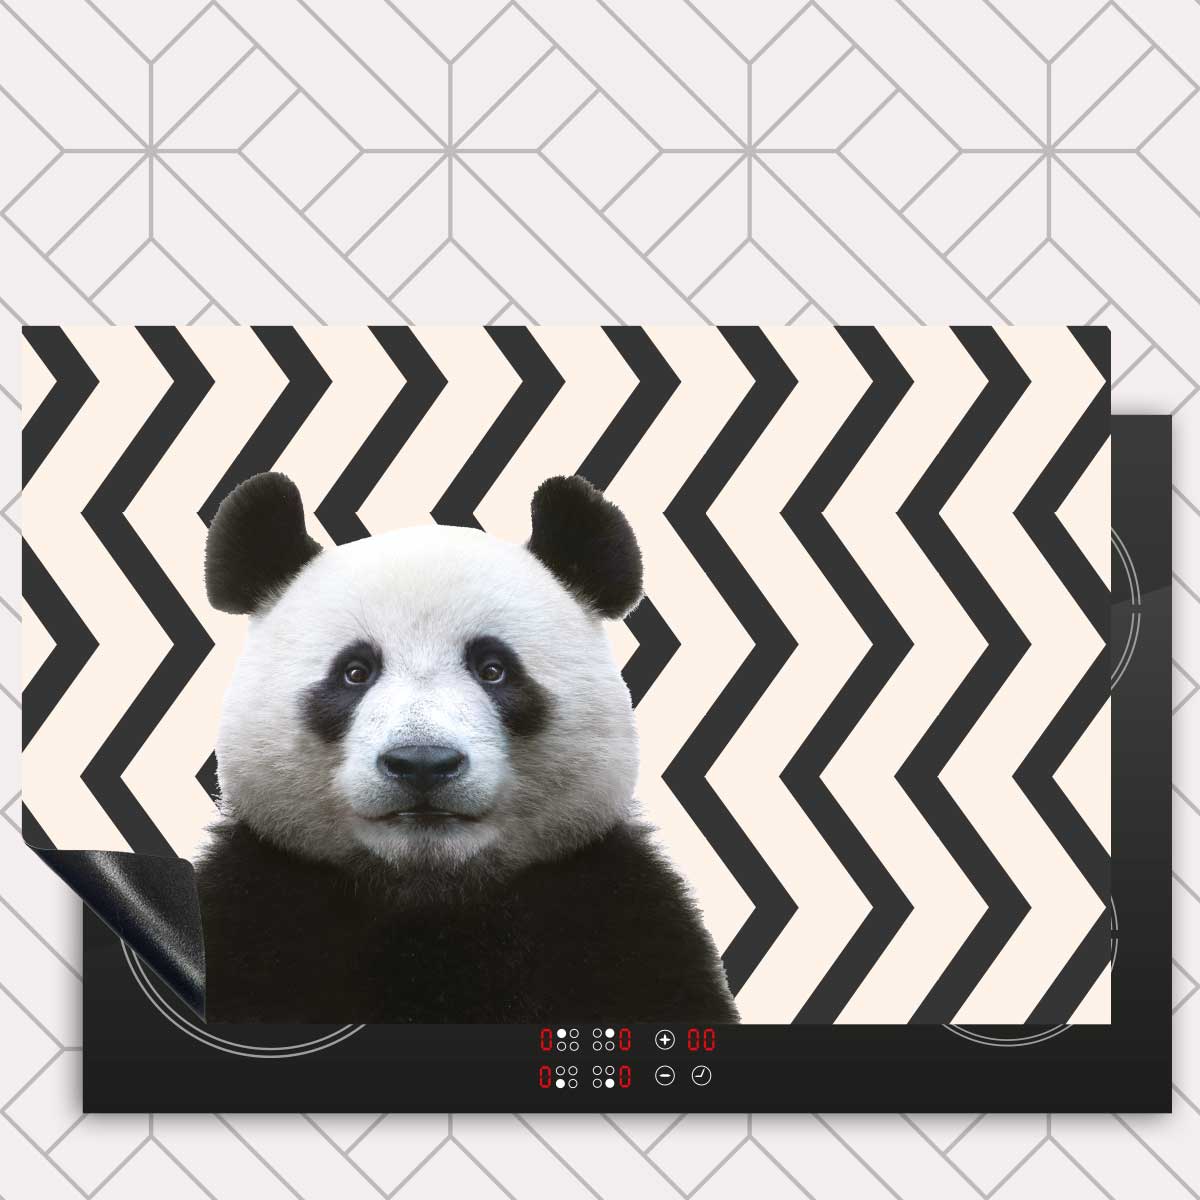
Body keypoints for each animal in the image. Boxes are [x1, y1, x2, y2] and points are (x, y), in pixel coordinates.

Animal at [195, 471, 738, 1025]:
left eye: (493, 669)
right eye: (355, 672)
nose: (422, 763)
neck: (433, 896)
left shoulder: (616, 915)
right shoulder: (253, 913)